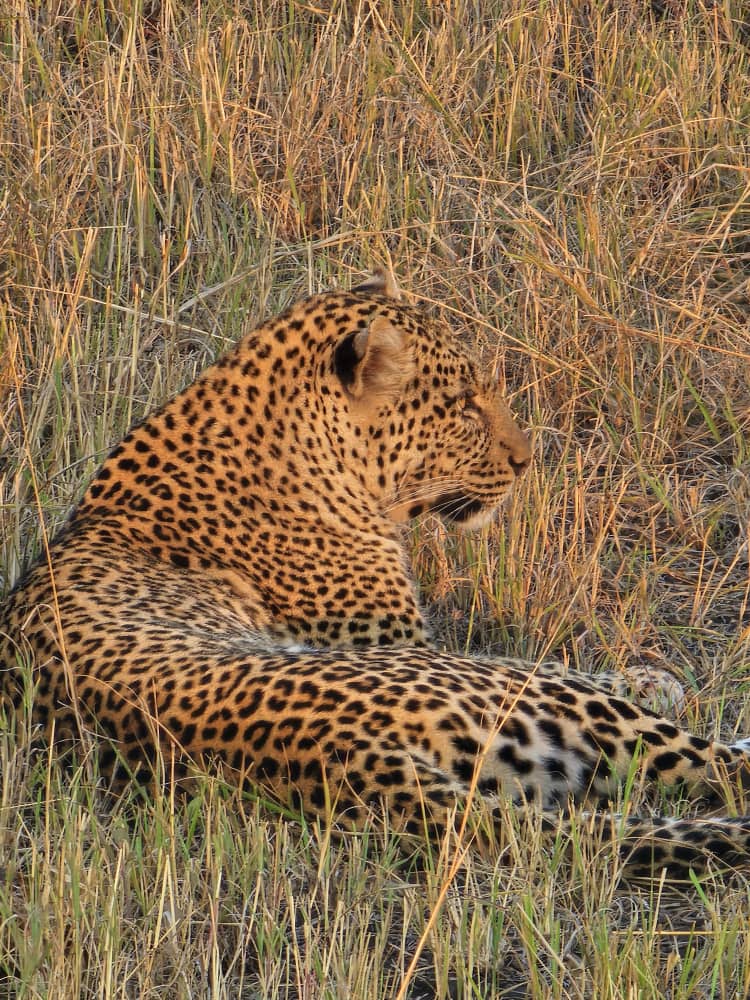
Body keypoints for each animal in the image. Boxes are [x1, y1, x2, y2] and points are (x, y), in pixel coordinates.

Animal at [1, 269, 749, 877]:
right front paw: (654, 677)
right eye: (463, 404)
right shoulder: (409, 641)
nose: (525, 459)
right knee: (712, 760)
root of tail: (335, 753)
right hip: (510, 695)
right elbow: (557, 658)